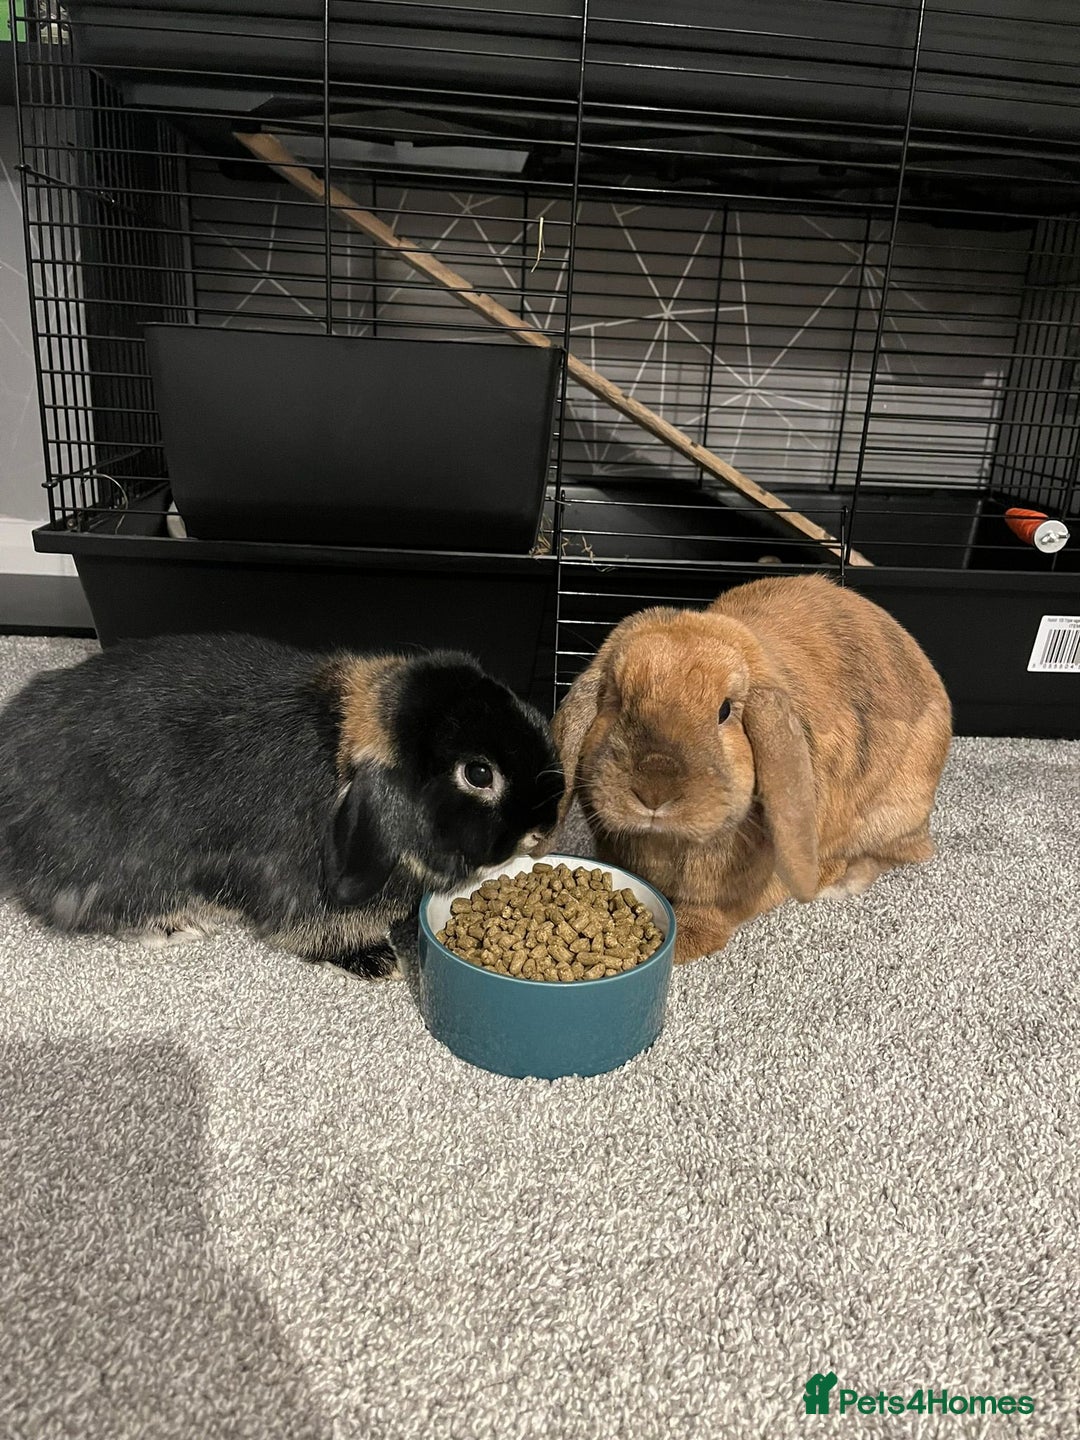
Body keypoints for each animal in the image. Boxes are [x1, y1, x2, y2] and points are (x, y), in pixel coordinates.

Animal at [551, 574, 951, 963]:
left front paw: (685, 944)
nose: (654, 790)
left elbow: (713, 912)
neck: (667, 842)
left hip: (891, 813)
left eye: (725, 711)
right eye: (616, 700)